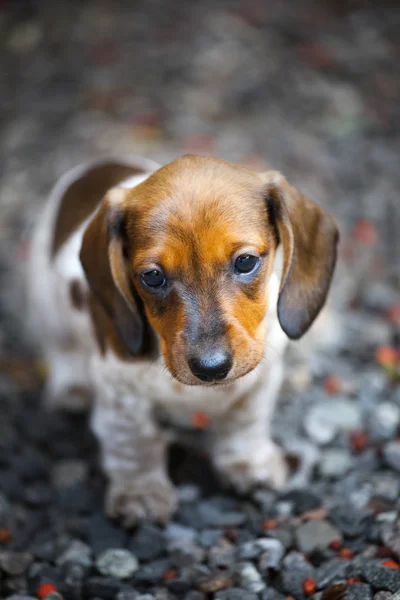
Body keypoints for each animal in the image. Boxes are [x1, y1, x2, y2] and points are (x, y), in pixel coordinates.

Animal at [28, 155, 340, 524]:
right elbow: (134, 442)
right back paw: (71, 388)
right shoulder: (120, 392)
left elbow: (245, 422)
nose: (211, 368)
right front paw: (141, 493)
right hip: (45, 301)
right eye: (152, 276)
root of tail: (98, 165)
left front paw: (249, 464)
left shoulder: (260, 380)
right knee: (60, 348)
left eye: (246, 261)